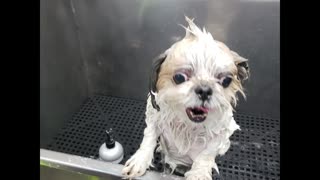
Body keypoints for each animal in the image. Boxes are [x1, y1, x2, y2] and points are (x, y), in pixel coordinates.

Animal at [121, 16, 249, 179]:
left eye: (226, 80)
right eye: (179, 77)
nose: (205, 90)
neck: (188, 126)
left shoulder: (222, 132)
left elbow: (207, 154)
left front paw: (199, 173)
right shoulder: (154, 116)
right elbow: (149, 136)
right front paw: (139, 160)